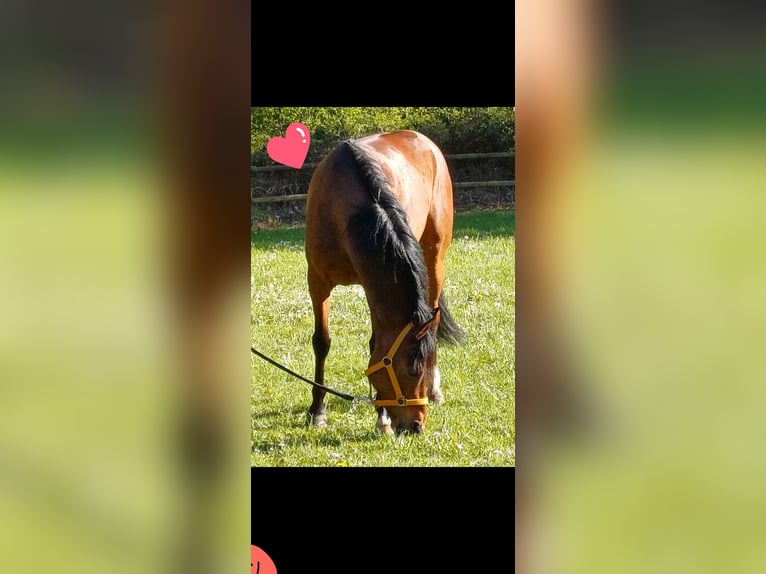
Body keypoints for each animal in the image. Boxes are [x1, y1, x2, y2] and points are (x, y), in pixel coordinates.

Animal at [304, 130, 464, 435]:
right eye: (412, 370)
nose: (416, 426)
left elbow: (375, 343)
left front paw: (383, 418)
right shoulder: (317, 282)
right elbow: (322, 342)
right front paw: (317, 411)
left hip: (435, 256)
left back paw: (435, 391)